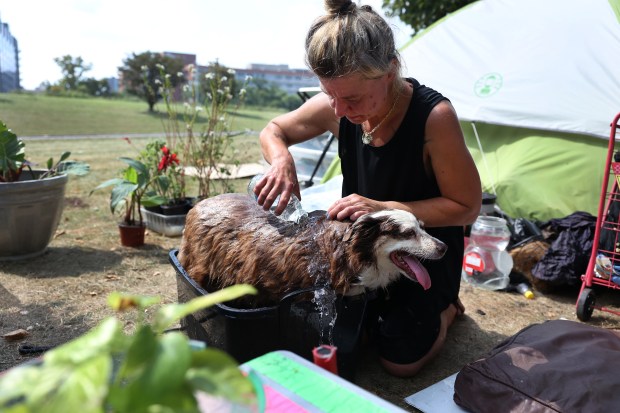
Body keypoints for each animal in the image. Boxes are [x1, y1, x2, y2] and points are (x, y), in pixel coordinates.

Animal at [177, 193, 448, 306]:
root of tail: (198, 205)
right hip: (199, 266)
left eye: (423, 228)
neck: (350, 252)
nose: (444, 248)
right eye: (408, 233)